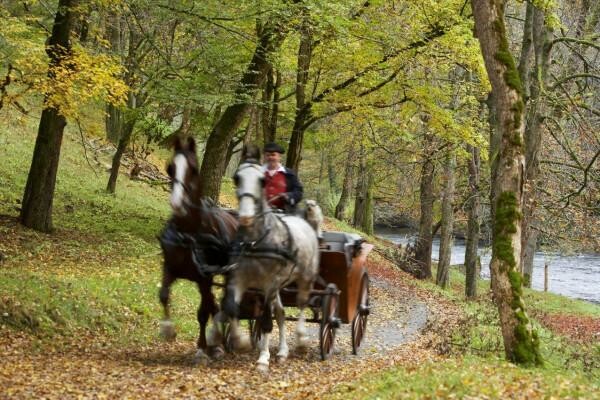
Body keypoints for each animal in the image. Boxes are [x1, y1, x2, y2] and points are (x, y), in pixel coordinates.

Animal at [159, 136, 239, 364]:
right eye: (170, 168)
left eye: (194, 169)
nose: (176, 203)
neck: (189, 233)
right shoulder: (170, 268)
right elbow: (164, 295)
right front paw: (168, 330)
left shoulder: (204, 278)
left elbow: (203, 312)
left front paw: (203, 349)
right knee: (218, 304)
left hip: (230, 272)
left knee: (229, 302)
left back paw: (229, 339)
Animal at [223, 160, 322, 372]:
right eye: (237, 178)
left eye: (262, 180)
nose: (245, 216)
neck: (255, 242)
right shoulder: (239, 279)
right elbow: (231, 308)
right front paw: (241, 341)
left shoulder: (269, 285)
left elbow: (266, 321)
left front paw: (263, 358)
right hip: (279, 286)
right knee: (281, 313)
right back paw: (283, 351)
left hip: (305, 278)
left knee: (301, 305)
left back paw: (301, 338)